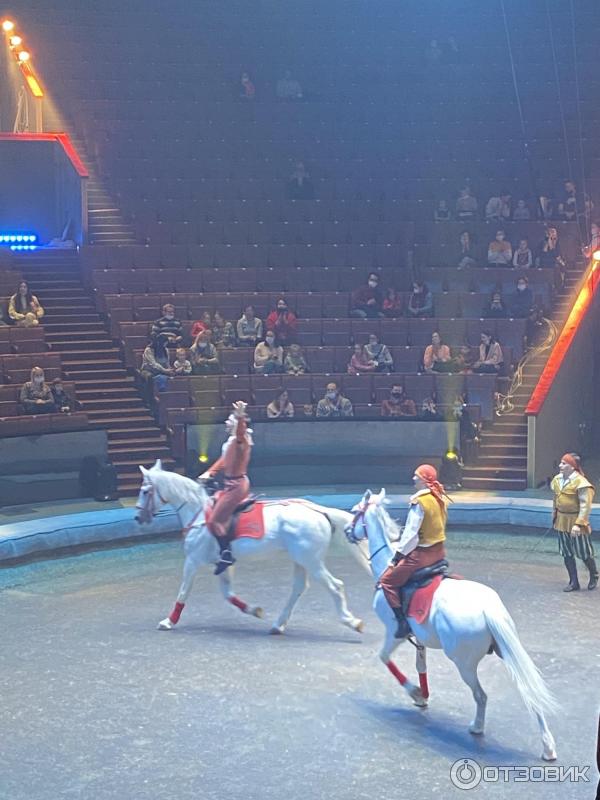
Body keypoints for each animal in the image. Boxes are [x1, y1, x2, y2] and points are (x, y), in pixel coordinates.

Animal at [135, 462, 366, 636]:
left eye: (145, 491)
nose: (138, 517)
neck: (199, 513)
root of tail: (318, 510)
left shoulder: (192, 560)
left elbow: (183, 591)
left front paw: (168, 621)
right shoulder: (223, 563)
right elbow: (228, 594)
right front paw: (254, 610)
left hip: (311, 560)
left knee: (335, 586)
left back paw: (352, 621)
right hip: (301, 559)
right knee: (298, 588)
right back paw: (278, 625)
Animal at [346, 488, 556, 764]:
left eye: (355, 512)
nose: (347, 531)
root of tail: (488, 609)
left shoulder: (395, 633)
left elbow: (384, 658)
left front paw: (415, 692)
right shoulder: (419, 639)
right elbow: (421, 666)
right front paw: (423, 697)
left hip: (464, 664)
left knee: (481, 695)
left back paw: (477, 727)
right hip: (507, 652)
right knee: (530, 692)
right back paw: (547, 746)